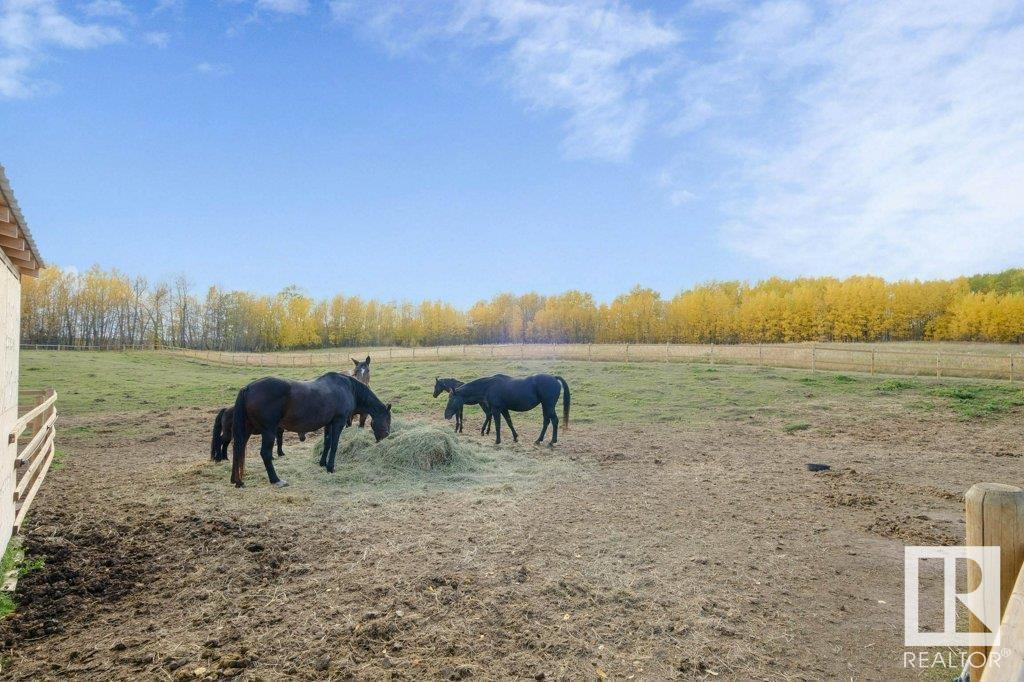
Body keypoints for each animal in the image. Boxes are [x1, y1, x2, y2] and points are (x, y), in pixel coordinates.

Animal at [232, 368, 391, 485]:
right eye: (388, 421)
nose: (385, 438)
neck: (348, 388)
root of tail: (247, 388)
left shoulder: (329, 424)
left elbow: (327, 443)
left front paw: (322, 463)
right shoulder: (338, 422)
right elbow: (334, 445)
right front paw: (331, 468)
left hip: (247, 430)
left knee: (239, 450)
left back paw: (237, 480)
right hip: (268, 431)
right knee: (265, 454)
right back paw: (276, 480)